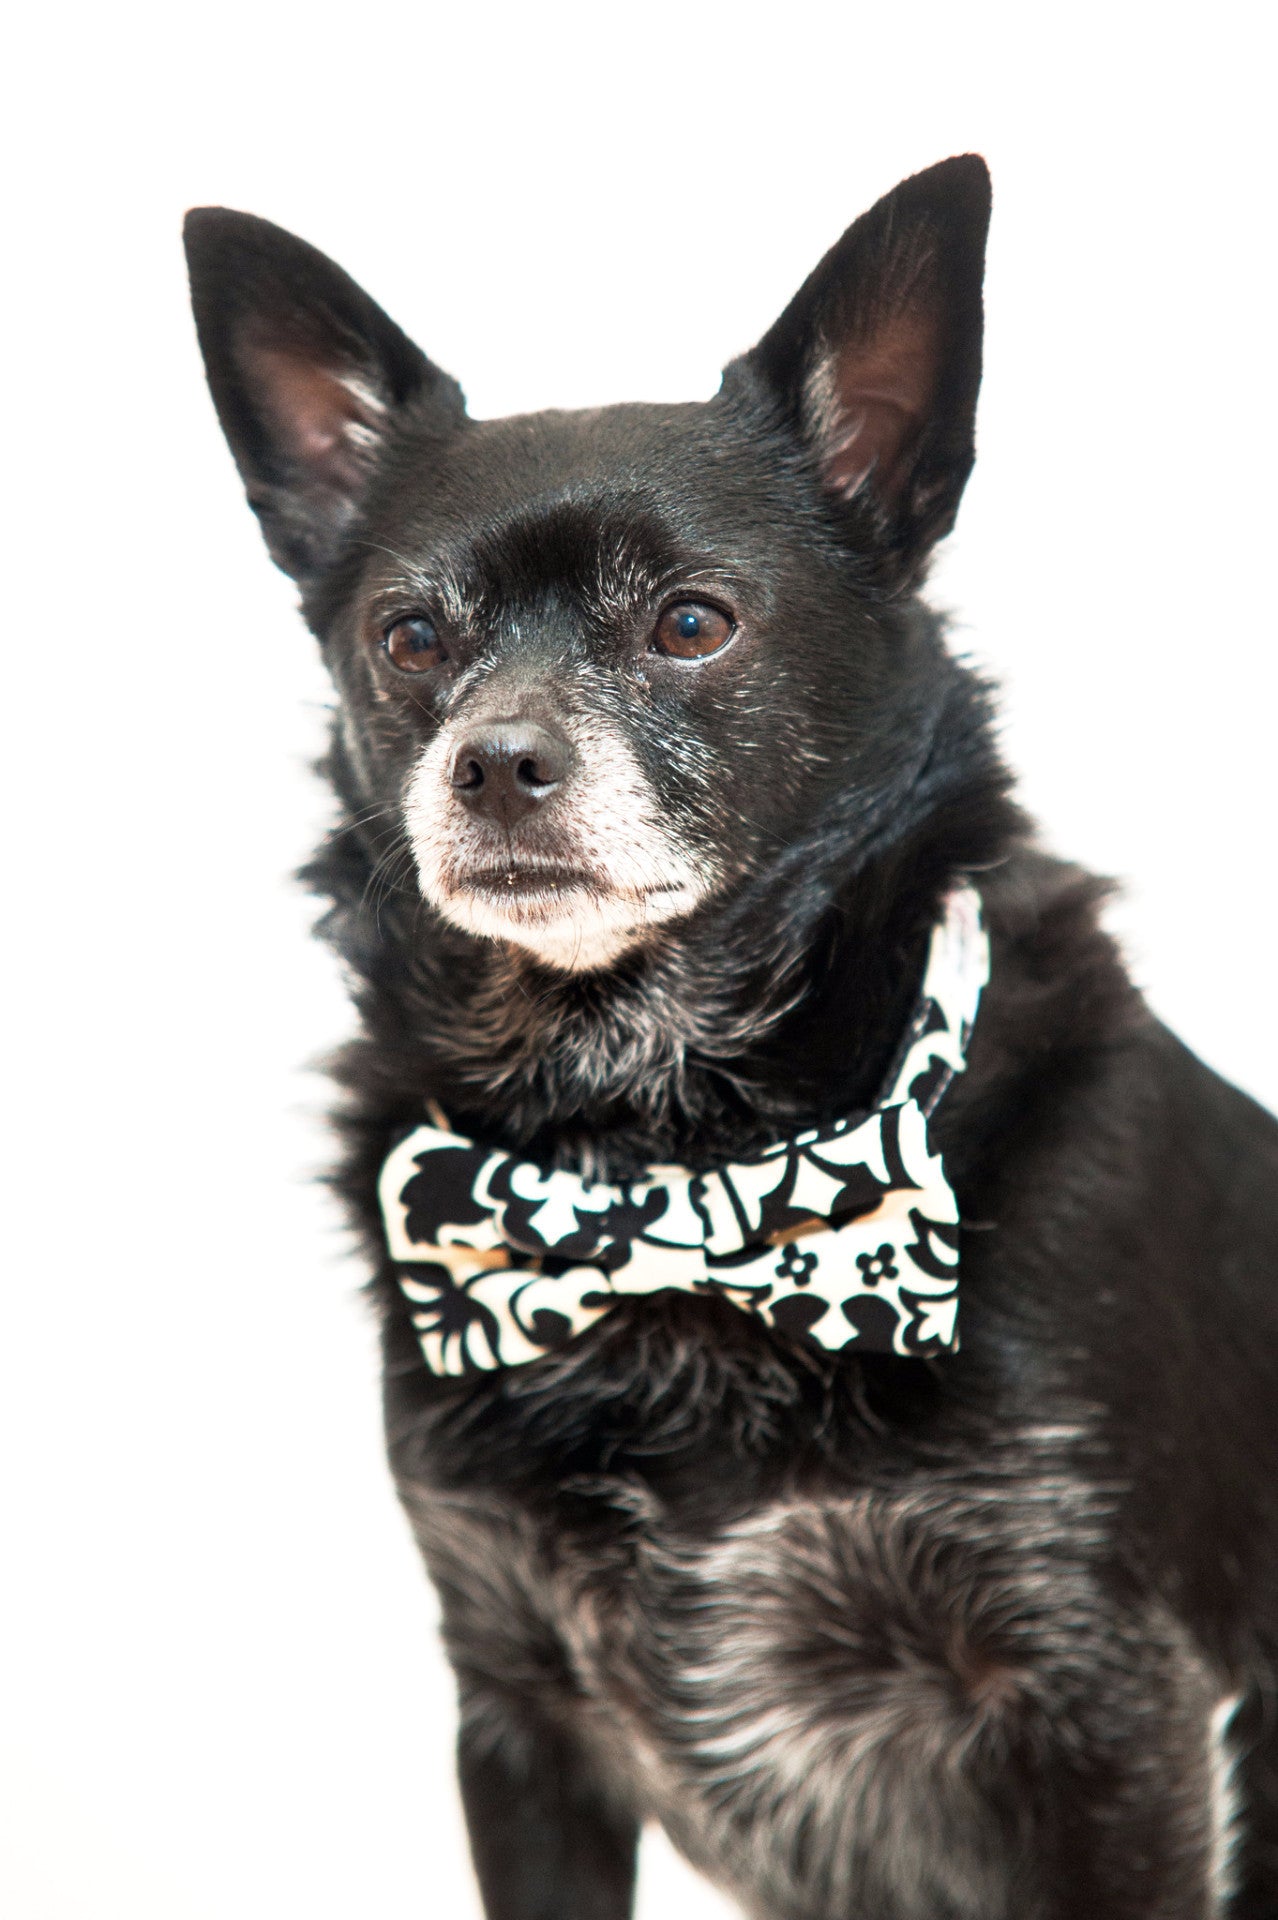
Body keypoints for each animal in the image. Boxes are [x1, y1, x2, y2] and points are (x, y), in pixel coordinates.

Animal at [181, 157, 1274, 1912]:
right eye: (411, 641)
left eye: (691, 624)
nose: (495, 763)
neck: (660, 1158)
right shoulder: (518, 1716)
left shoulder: (1109, 1720)